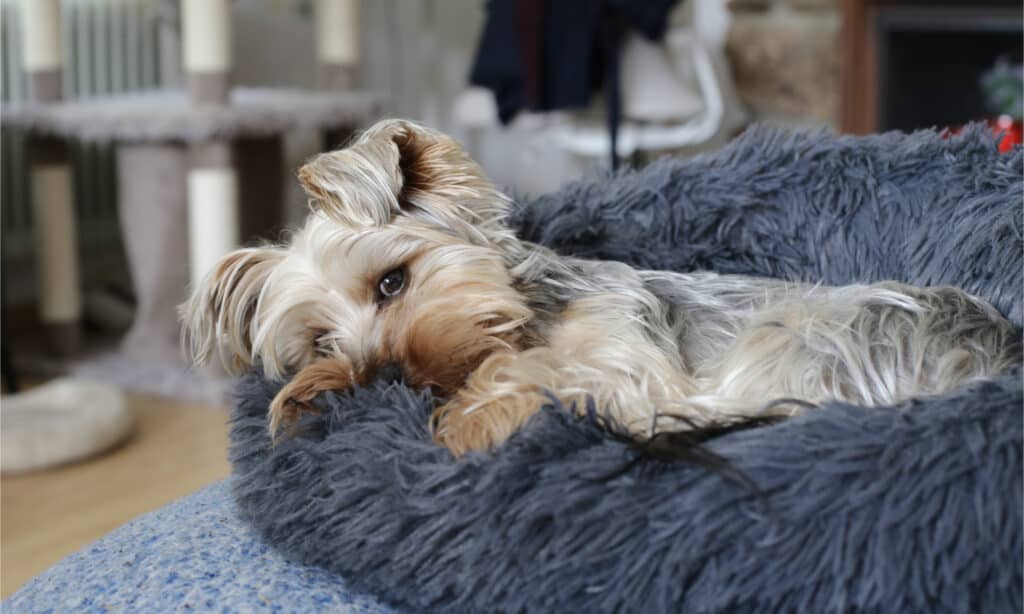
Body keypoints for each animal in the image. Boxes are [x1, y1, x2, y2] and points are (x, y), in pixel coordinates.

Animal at [180, 118, 1019, 456]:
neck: (532, 314)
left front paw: (466, 421)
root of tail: (998, 353)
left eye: (393, 281)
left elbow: (550, 374)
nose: (375, 381)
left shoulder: (627, 358)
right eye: (319, 342)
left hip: (799, 339)